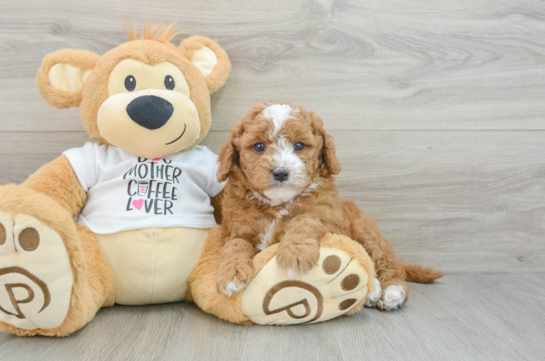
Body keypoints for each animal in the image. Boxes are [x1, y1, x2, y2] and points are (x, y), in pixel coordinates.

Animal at [214, 102, 442, 310]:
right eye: (259, 146)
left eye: (299, 146)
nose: (280, 172)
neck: (277, 204)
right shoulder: (233, 229)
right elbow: (236, 244)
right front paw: (231, 275)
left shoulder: (330, 219)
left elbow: (305, 218)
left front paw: (295, 254)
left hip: (367, 231)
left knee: (387, 264)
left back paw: (391, 292)